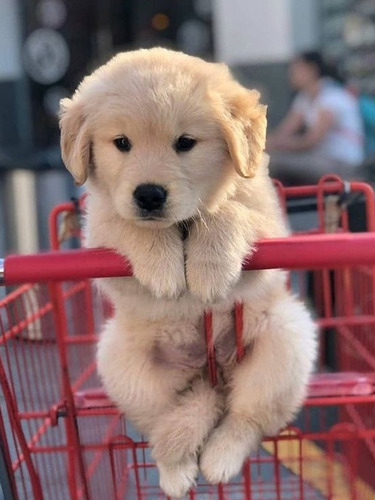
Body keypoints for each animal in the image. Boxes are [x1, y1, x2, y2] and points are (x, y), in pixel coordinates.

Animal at [61, 47, 318, 500]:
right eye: (121, 143)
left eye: (185, 143)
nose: (149, 195)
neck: (180, 225)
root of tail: (210, 375)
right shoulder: (100, 235)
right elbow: (130, 225)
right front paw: (164, 266)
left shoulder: (271, 228)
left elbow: (227, 211)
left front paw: (209, 268)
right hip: (123, 363)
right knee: (165, 422)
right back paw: (175, 471)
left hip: (286, 339)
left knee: (246, 418)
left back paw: (220, 457)